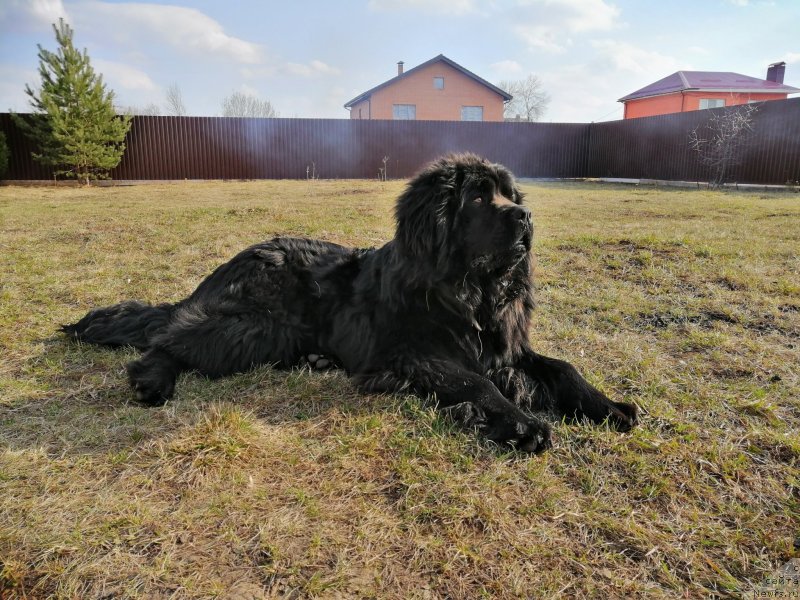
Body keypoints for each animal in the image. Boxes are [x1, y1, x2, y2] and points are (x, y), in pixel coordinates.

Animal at [64, 152, 636, 452]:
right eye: (477, 197)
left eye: (510, 197)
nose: (526, 217)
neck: (468, 292)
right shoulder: (414, 355)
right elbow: (476, 383)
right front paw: (521, 422)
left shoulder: (507, 347)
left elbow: (562, 368)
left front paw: (609, 406)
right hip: (257, 323)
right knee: (172, 336)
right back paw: (152, 380)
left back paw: (317, 360)